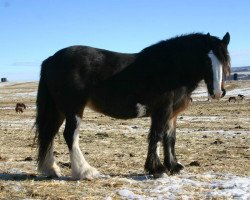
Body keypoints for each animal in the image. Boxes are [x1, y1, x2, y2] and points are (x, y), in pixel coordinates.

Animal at [34, 31, 230, 180]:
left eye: (224, 61)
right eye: (206, 60)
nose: (217, 93)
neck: (171, 68)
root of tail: (51, 59)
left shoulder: (172, 114)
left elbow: (170, 138)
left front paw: (173, 166)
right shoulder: (162, 110)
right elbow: (156, 136)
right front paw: (157, 169)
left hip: (58, 110)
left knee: (49, 134)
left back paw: (51, 169)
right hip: (73, 109)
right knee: (70, 135)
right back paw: (85, 171)